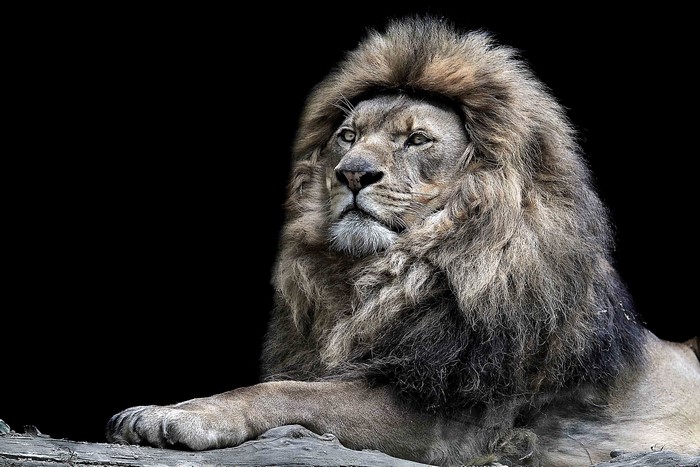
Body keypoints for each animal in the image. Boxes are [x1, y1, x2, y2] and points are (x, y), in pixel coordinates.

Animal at [105, 16, 700, 466]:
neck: (389, 276)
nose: (352, 173)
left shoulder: (459, 420)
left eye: (416, 140)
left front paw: (176, 415)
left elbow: (287, 391)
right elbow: (297, 385)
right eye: (347, 136)